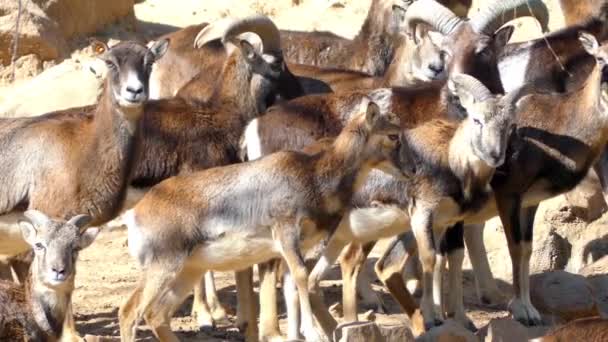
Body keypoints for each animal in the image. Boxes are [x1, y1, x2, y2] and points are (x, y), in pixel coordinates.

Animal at [119, 100, 410, 340]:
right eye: (392, 135)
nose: (409, 170)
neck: (313, 175)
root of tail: (137, 212)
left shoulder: (294, 249)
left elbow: (292, 286)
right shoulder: (286, 236)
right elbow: (302, 276)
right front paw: (313, 333)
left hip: (187, 272)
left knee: (156, 315)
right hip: (162, 268)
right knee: (130, 312)